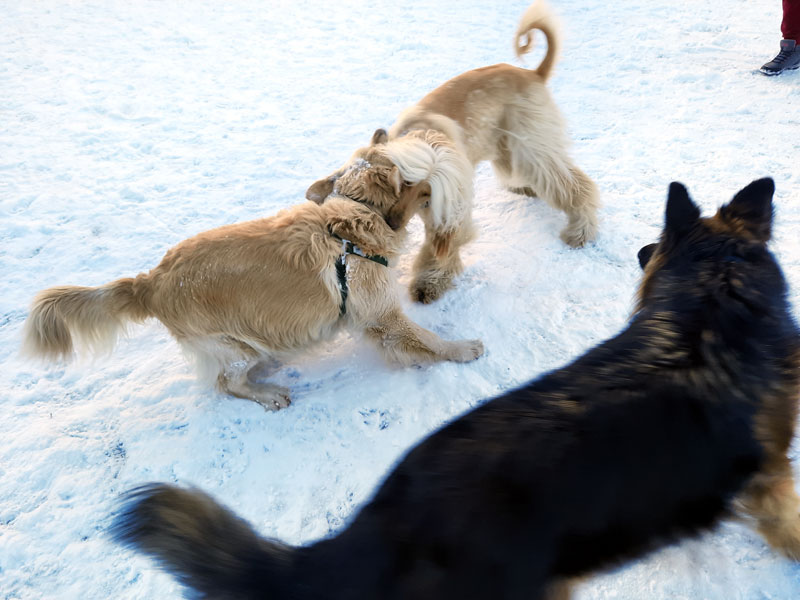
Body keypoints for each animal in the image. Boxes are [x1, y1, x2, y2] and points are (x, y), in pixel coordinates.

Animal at [23, 143, 482, 410]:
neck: (353, 219)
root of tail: (150, 281)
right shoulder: (381, 317)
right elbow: (426, 339)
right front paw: (463, 348)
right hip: (234, 345)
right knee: (227, 383)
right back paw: (269, 393)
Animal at [112, 177, 800, 596]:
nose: (639, 251)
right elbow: (426, 342)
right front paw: (461, 349)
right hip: (237, 344)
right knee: (226, 380)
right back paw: (267, 392)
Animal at [310, 0, 596, 304]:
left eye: (426, 193)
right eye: (402, 182)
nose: (394, 223)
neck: (425, 134)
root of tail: (533, 73)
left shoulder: (448, 205)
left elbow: (443, 244)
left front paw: (429, 284)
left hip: (531, 140)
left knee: (572, 183)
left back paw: (580, 231)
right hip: (507, 139)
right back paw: (525, 187)